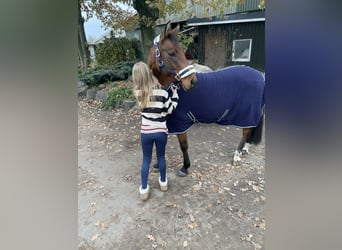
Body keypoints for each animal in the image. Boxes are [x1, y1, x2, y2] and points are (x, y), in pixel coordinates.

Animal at [148, 22, 264, 178]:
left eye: (182, 52)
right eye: (172, 52)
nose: (193, 82)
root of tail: (259, 75)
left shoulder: (180, 122)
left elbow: (183, 146)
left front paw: (185, 167)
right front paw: (157, 165)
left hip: (246, 114)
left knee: (246, 132)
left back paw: (236, 155)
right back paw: (244, 150)